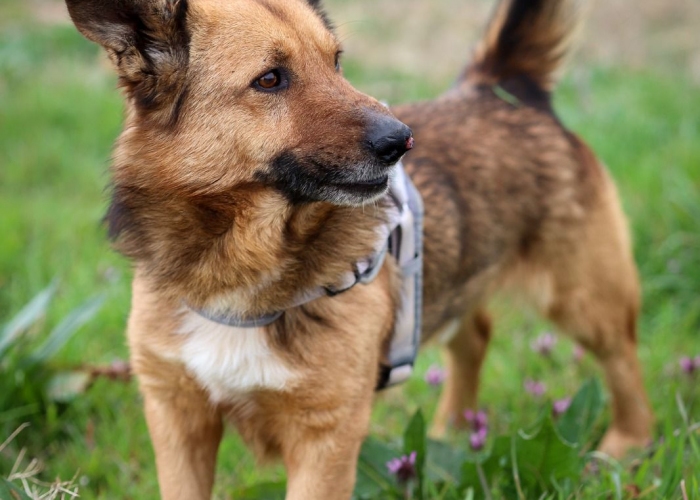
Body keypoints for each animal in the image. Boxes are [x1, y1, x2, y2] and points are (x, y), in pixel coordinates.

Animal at [64, 0, 652, 496]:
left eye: (337, 61)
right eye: (270, 79)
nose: (401, 141)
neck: (239, 268)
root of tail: (499, 86)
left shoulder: (324, 440)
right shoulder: (177, 417)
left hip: (586, 302)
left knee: (625, 365)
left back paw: (625, 447)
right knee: (475, 337)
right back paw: (453, 431)